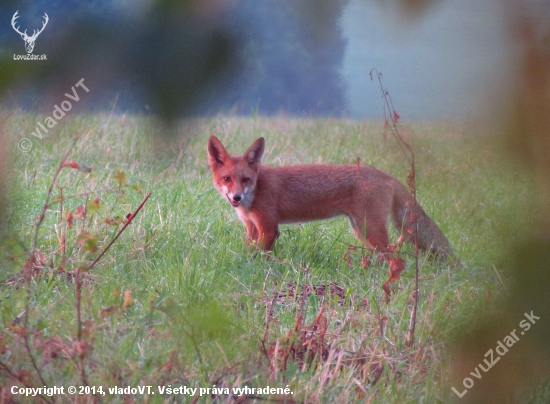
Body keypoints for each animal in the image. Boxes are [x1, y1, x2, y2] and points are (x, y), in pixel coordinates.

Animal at [209, 136, 454, 262]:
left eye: (246, 179)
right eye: (227, 179)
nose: (236, 197)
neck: (257, 190)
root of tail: (385, 174)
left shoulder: (269, 229)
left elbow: (260, 256)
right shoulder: (251, 228)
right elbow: (248, 251)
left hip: (370, 229)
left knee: (393, 255)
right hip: (361, 230)